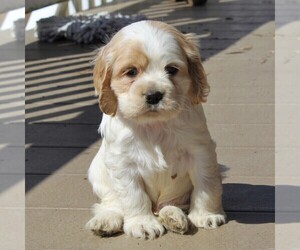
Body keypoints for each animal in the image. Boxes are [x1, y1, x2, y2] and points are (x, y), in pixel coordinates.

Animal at [85, 20, 226, 239]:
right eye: (131, 72)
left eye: (171, 70)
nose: (153, 95)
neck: (154, 124)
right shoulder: (122, 163)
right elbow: (134, 196)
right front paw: (142, 224)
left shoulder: (201, 150)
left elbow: (206, 184)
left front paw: (206, 215)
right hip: (97, 173)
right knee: (111, 204)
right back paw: (105, 222)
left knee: (169, 206)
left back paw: (174, 217)